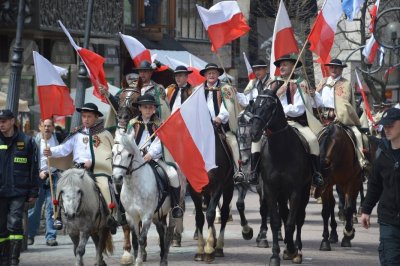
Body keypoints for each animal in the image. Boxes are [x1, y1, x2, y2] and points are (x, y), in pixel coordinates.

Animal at [112, 134, 175, 264]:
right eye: (112, 152)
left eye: (129, 155)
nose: (117, 178)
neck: (134, 187)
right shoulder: (131, 216)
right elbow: (135, 239)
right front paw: (136, 258)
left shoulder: (146, 216)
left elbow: (141, 239)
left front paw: (139, 261)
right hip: (157, 215)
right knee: (161, 230)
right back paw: (162, 255)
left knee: (169, 230)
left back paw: (164, 258)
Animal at [318, 121, 364, 250]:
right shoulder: (328, 185)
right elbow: (326, 211)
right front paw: (325, 240)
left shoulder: (350, 181)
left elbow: (348, 207)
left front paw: (347, 234)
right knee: (333, 204)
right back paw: (333, 234)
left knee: (351, 203)